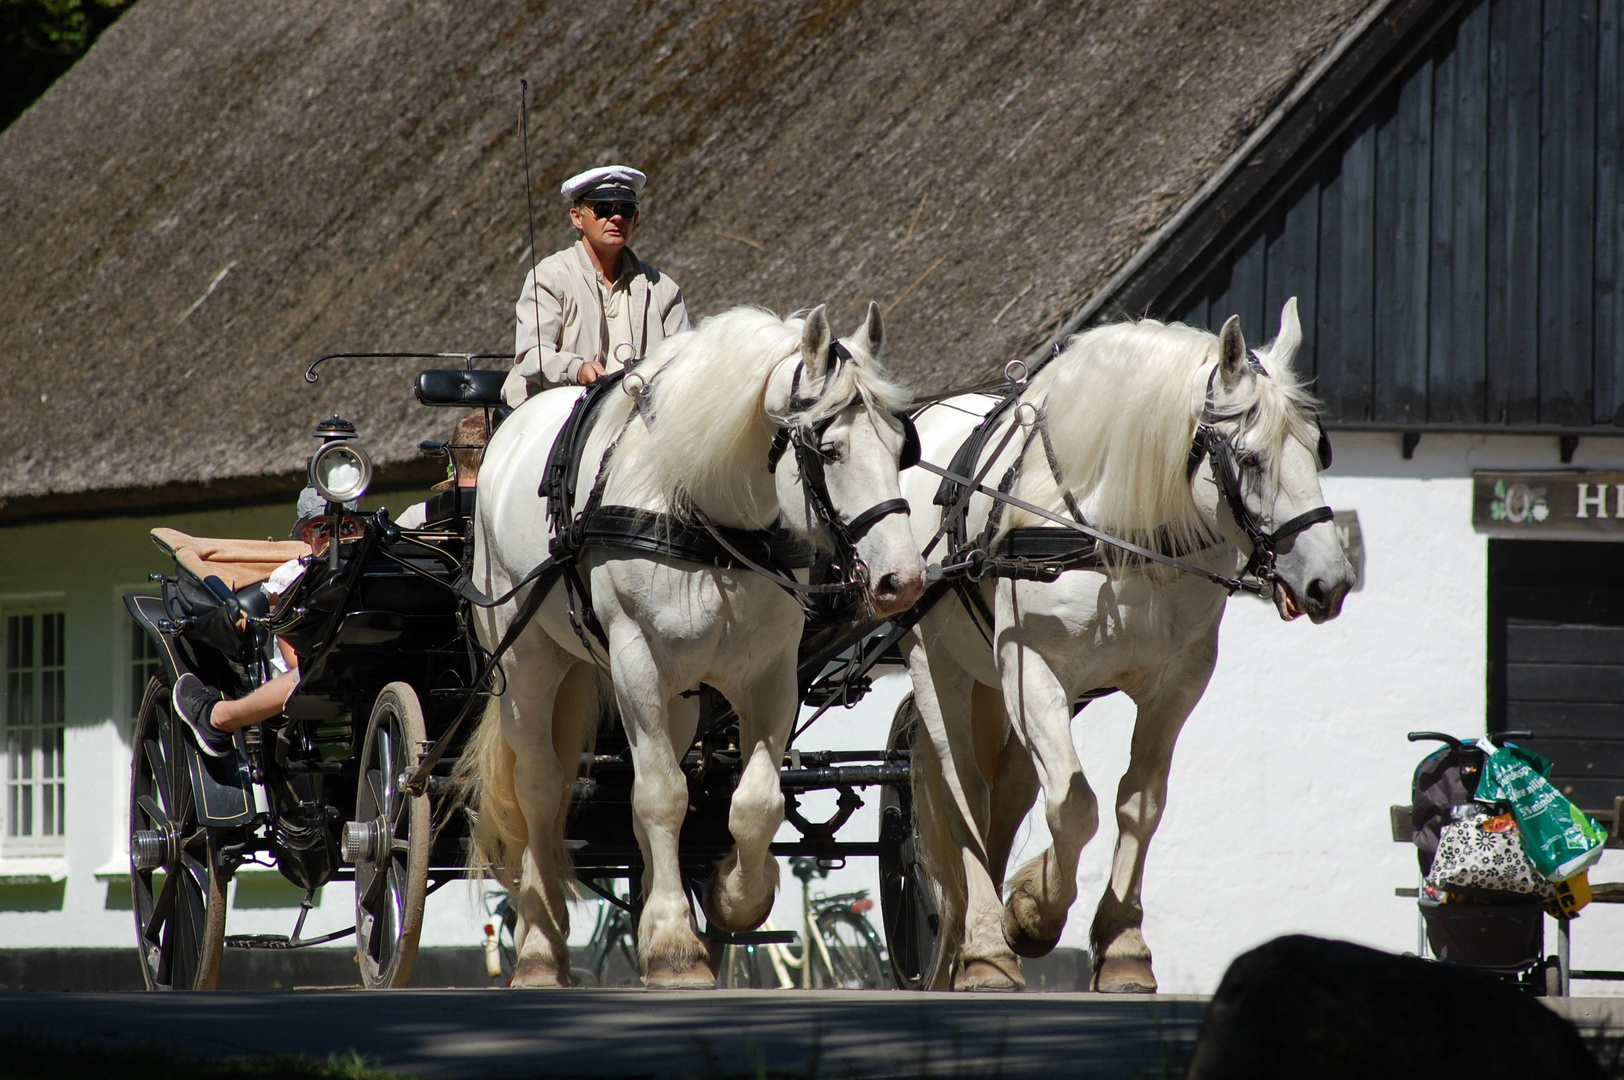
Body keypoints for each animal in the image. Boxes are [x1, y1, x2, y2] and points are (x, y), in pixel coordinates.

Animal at [464, 300, 935, 987]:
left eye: (902, 446)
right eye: (831, 449)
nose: (903, 579)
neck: (709, 517)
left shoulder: (770, 677)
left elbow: (754, 802)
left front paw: (734, 898)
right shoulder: (636, 663)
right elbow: (662, 797)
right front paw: (674, 947)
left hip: (679, 697)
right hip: (528, 663)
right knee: (541, 789)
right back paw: (540, 944)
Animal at [902, 298, 1357, 987]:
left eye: (1319, 448)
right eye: (1250, 459)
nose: (1329, 582)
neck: (1116, 532)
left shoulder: (1178, 682)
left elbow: (1136, 804)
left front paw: (1118, 945)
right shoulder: (1030, 668)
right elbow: (1074, 805)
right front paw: (1032, 916)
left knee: (1008, 790)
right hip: (937, 662)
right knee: (964, 791)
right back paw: (985, 948)